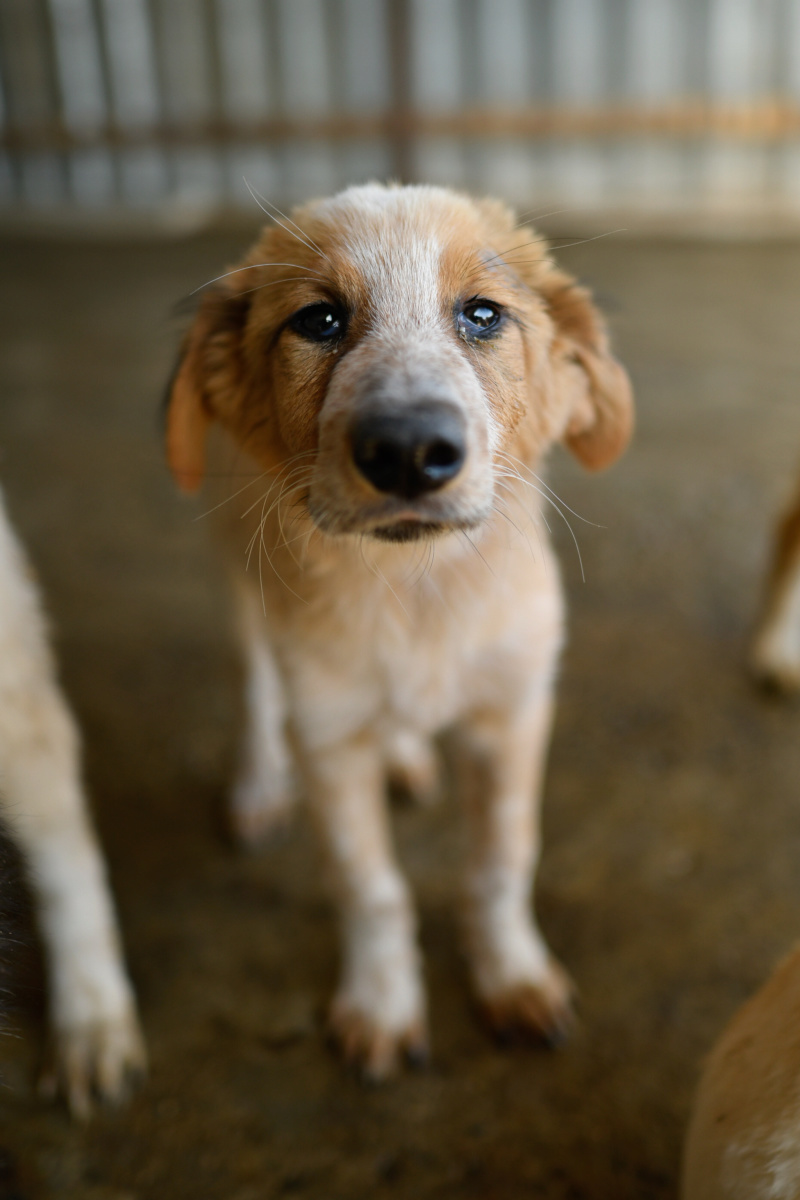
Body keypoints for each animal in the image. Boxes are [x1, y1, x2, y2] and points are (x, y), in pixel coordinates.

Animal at [165, 184, 633, 1080]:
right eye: (317, 320)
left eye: (483, 314)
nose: (411, 451)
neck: (420, 594)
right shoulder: (328, 737)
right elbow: (370, 887)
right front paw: (381, 1004)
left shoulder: (513, 711)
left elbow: (500, 863)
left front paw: (511, 977)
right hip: (239, 584)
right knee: (255, 689)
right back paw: (258, 786)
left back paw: (409, 754)